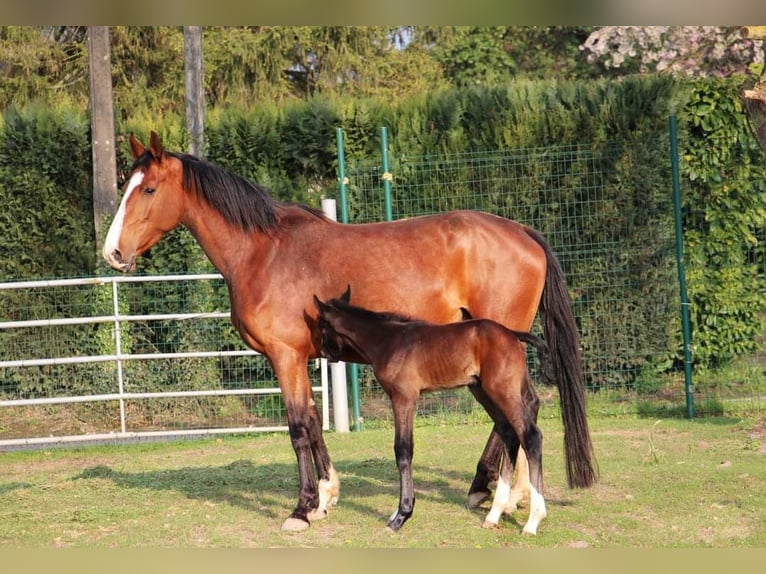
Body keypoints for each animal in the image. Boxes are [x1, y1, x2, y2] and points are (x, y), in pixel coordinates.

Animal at [316, 290, 556, 536]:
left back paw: (533, 521)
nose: (323, 352)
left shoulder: (404, 397)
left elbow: (403, 451)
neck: (388, 341)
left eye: (321, 326)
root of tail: (512, 334)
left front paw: (401, 516)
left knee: (530, 435)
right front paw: (397, 513)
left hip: (502, 390)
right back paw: (494, 514)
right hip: (484, 390)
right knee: (509, 433)